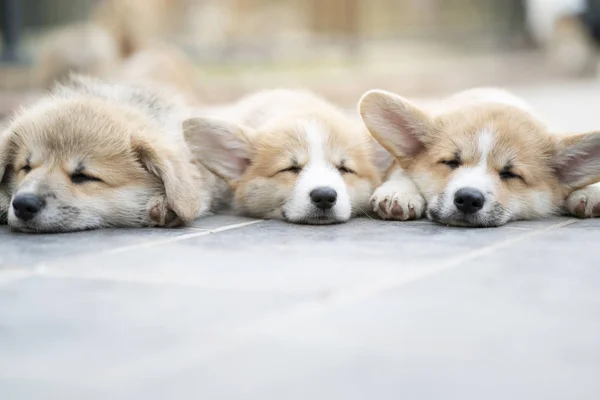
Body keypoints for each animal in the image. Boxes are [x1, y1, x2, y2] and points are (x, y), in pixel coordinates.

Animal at [358, 87, 600, 227]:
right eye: (451, 162)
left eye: (510, 174)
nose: (468, 199)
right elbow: (402, 172)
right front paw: (399, 193)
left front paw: (590, 193)